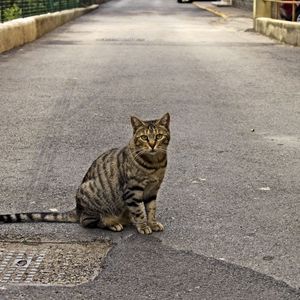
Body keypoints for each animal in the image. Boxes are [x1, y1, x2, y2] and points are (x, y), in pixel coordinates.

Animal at [0, 112, 170, 234]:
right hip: (90, 194)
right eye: (144, 137)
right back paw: (112, 223)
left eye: (159, 136)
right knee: (88, 222)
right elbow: (139, 211)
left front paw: (152, 223)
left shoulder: (152, 190)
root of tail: (77, 208)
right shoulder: (132, 191)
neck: (155, 164)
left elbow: (151, 209)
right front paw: (143, 226)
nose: (152, 144)